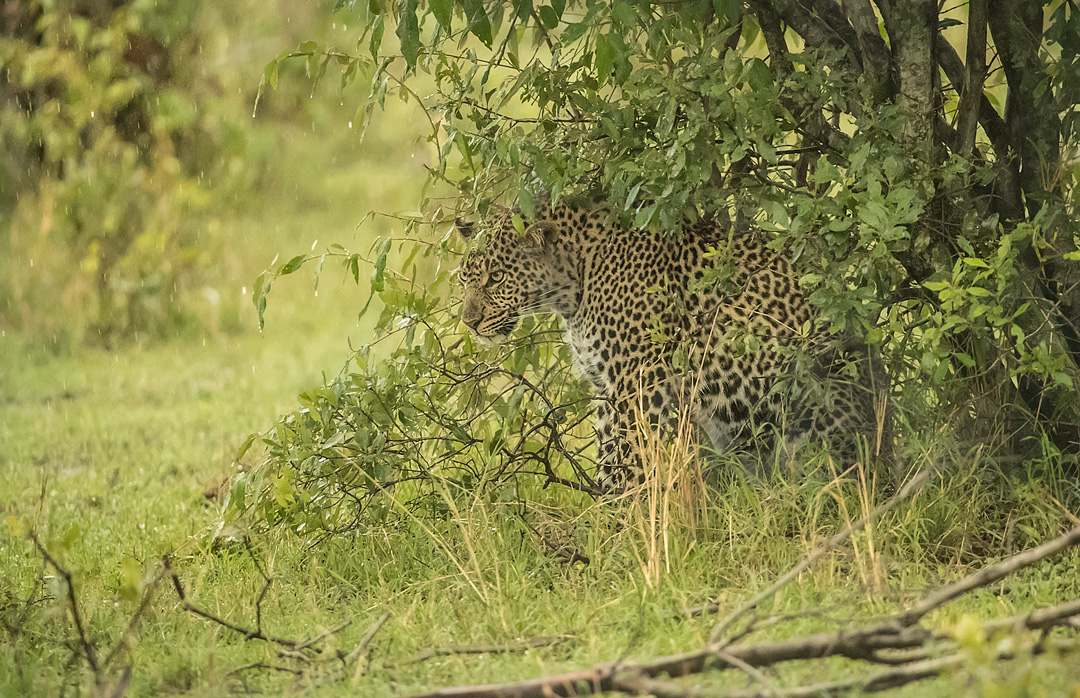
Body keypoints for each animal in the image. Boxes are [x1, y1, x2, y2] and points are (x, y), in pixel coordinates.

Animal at [455, 196, 885, 492]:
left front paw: (628, 518)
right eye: (464, 278)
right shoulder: (606, 385)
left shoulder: (641, 380)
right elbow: (608, 452)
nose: (469, 321)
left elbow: (631, 456)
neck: (573, 285)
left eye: (497, 277)